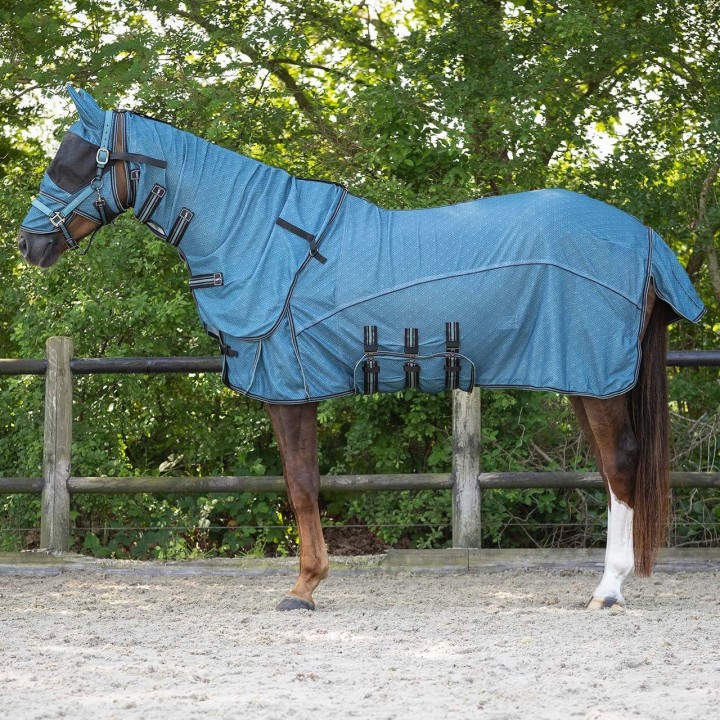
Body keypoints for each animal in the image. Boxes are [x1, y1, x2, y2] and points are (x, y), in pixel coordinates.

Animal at [18, 86, 705, 611]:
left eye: (75, 164)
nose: (29, 245)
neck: (260, 237)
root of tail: (644, 238)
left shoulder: (289, 389)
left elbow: (299, 484)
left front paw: (303, 587)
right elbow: (307, 482)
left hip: (597, 379)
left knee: (621, 466)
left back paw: (608, 590)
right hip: (586, 381)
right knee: (611, 471)